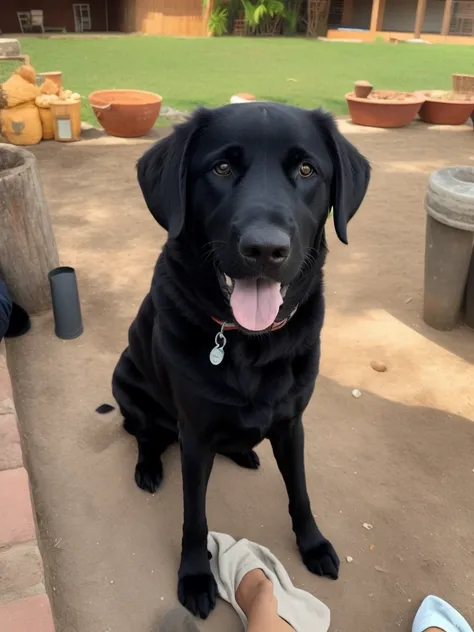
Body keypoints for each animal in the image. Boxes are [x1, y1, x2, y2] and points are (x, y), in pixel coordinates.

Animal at [108, 102, 370, 616]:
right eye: (221, 168)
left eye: (306, 170)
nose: (265, 249)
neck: (250, 342)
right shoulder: (194, 436)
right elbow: (194, 517)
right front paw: (194, 575)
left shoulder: (291, 423)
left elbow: (300, 492)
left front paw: (313, 544)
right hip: (126, 380)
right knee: (145, 434)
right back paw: (149, 466)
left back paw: (243, 450)